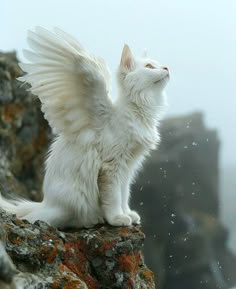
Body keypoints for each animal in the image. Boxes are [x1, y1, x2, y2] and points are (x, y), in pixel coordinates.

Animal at [0, 27, 170, 227]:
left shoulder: (128, 168)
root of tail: (45, 203)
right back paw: (93, 219)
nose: (167, 68)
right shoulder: (111, 168)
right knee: (38, 218)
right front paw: (117, 218)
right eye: (150, 67)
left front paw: (128, 213)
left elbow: (124, 194)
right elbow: (114, 198)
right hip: (69, 205)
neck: (139, 111)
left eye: (159, 65)